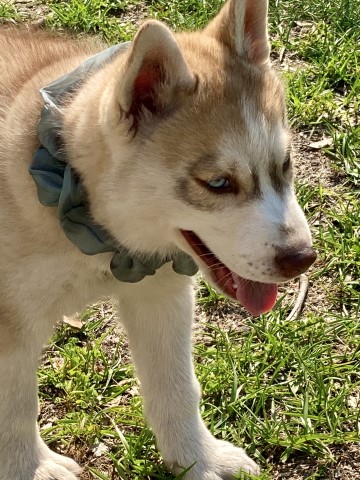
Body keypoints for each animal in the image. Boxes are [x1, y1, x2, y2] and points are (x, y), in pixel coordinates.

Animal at [0, 0, 316, 478]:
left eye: (286, 163)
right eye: (218, 183)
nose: (303, 258)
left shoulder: (161, 293)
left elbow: (177, 389)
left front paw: (197, 459)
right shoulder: (10, 324)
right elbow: (15, 408)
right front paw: (29, 468)